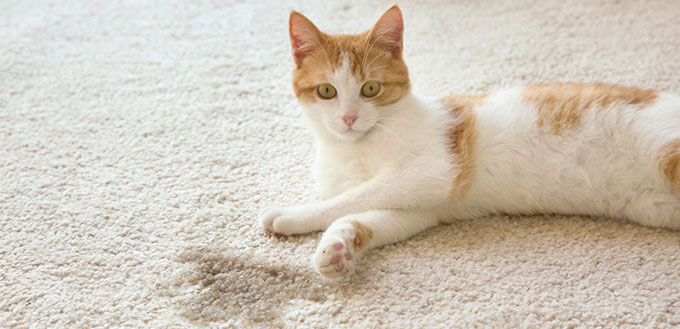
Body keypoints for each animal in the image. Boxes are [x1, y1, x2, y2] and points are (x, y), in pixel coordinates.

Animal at [258, 5, 680, 276]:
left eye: (371, 89)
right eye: (327, 91)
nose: (348, 118)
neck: (353, 148)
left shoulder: (434, 172)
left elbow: (350, 199)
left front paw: (293, 214)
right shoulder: (421, 209)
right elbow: (364, 216)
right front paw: (337, 250)